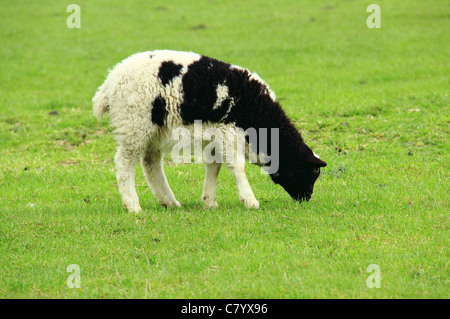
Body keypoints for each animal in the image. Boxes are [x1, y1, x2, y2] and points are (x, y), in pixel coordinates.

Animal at [92, 50, 326, 214]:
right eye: (314, 170)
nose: (307, 198)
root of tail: (110, 82)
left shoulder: (215, 137)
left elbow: (214, 167)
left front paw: (209, 201)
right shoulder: (229, 131)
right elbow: (238, 167)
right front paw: (250, 201)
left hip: (155, 129)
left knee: (150, 163)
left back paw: (169, 201)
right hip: (134, 124)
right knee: (125, 162)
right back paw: (133, 206)